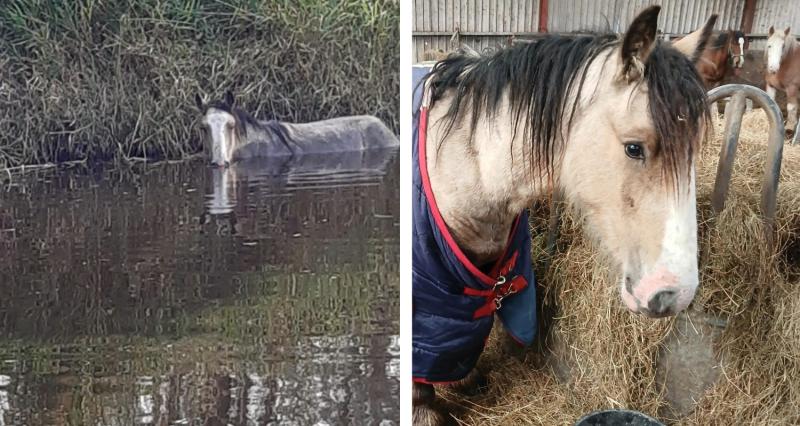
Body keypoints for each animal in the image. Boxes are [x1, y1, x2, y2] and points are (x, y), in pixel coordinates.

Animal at [412, 6, 715, 425]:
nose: (675, 294)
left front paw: (463, 378)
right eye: (634, 147)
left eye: (693, 152)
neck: (460, 166)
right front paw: (423, 408)